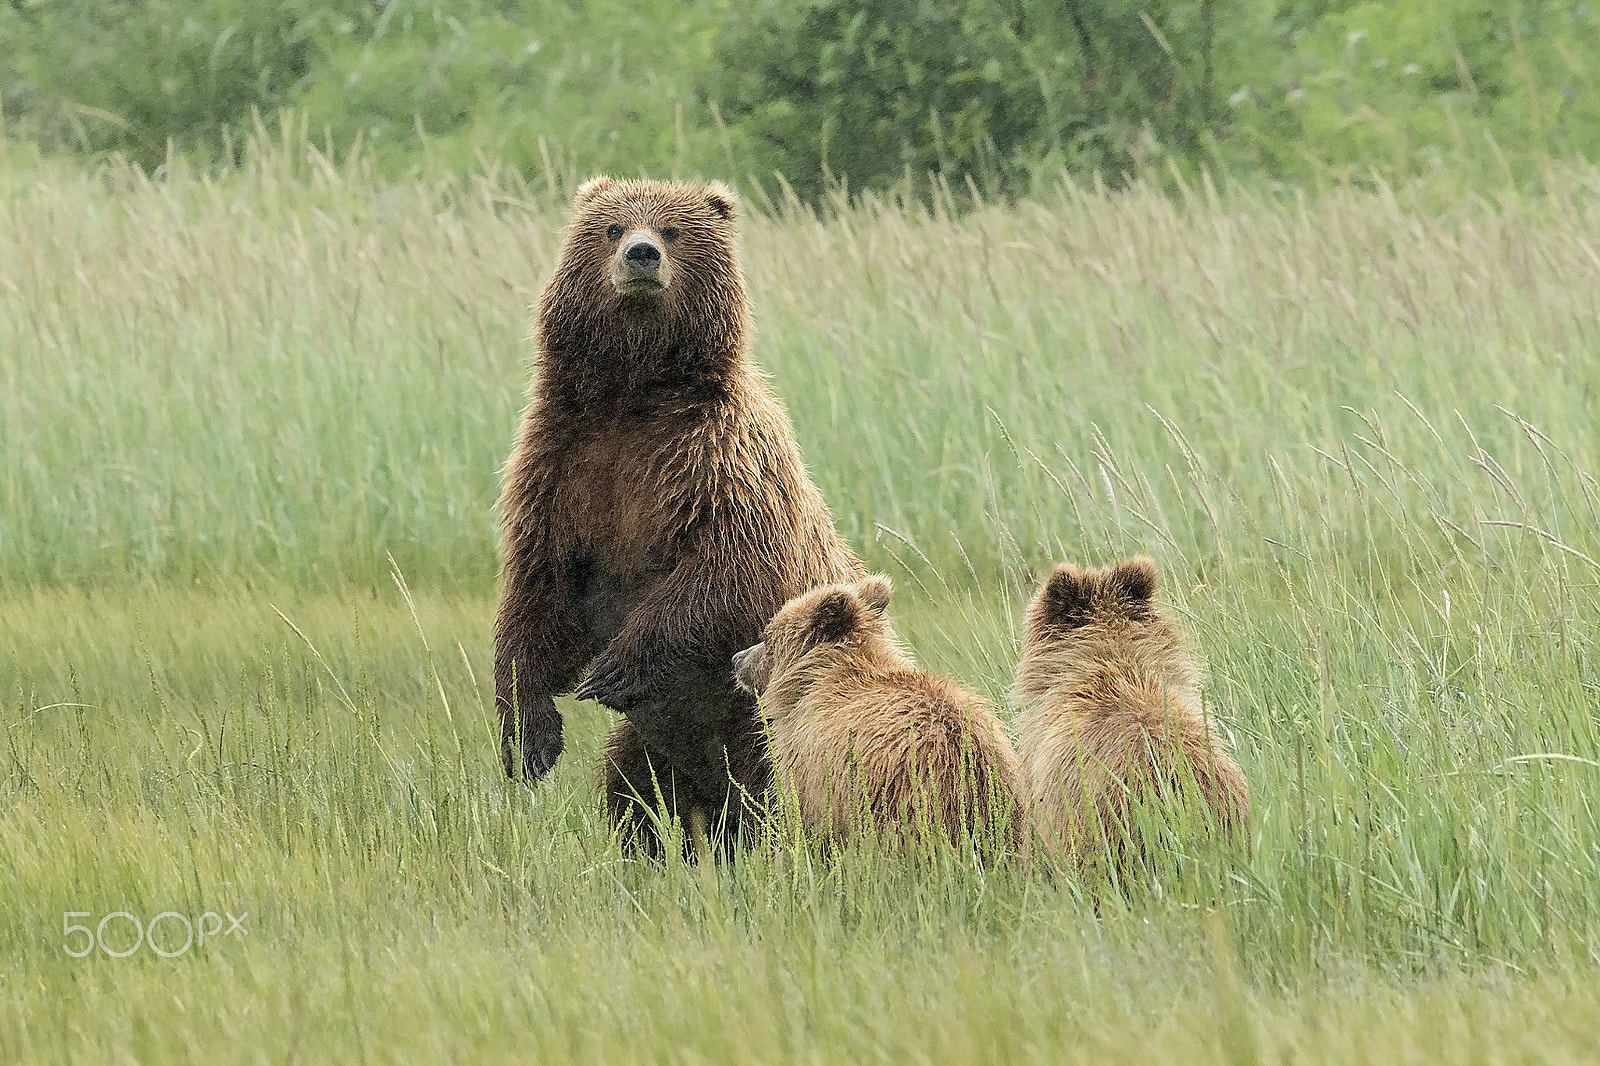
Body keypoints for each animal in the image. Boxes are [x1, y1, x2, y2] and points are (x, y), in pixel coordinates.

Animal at [492, 176, 864, 857]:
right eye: (612, 227)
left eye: (672, 230)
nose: (640, 255)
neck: (633, 394)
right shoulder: (561, 467)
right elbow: (540, 588)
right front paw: (531, 734)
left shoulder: (715, 460)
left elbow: (729, 568)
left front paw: (610, 670)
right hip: (656, 743)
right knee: (630, 787)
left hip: (766, 730)